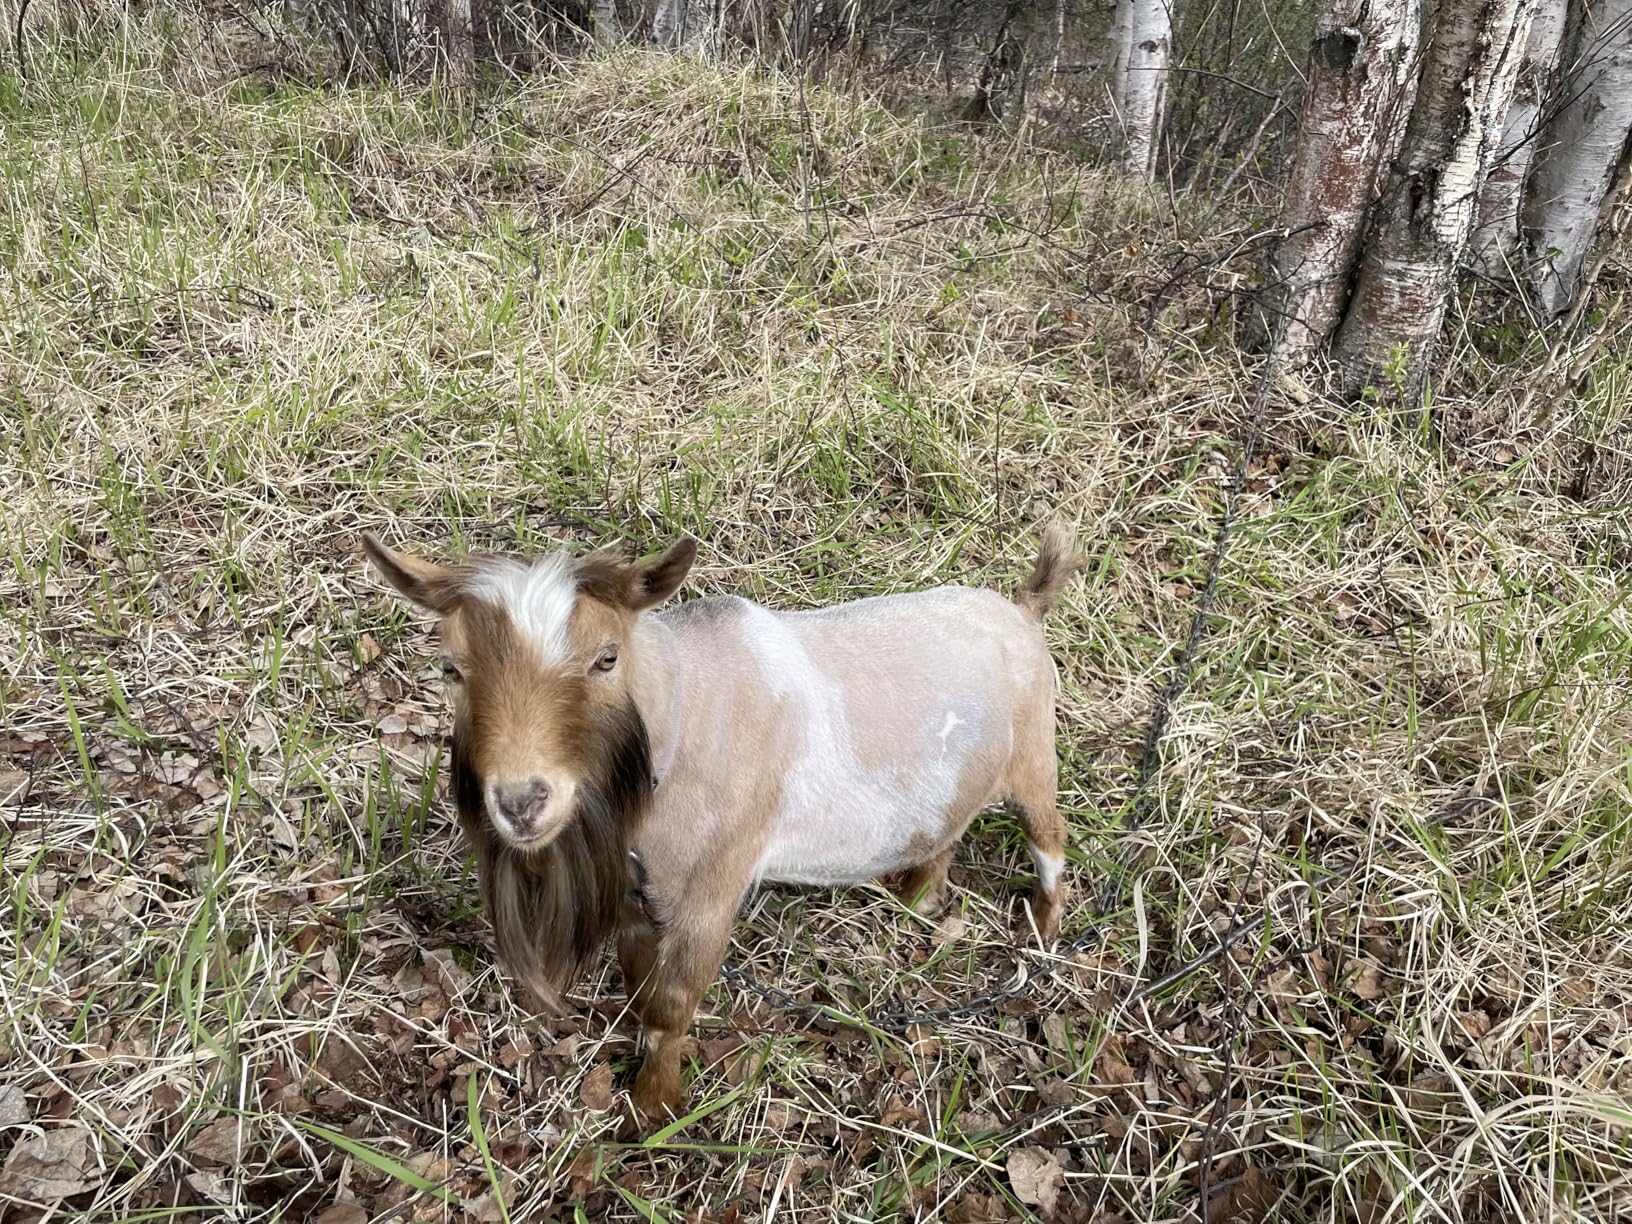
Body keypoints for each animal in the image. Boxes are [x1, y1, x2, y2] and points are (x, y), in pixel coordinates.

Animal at [362, 526, 1082, 1116]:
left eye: (606, 657)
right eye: (452, 668)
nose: (520, 801)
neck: (683, 710)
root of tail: (1024, 609)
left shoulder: (714, 887)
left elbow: (673, 1003)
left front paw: (654, 1108)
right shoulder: (639, 891)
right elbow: (637, 979)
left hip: (1033, 754)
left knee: (1051, 838)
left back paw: (1043, 933)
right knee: (948, 832)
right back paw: (916, 899)